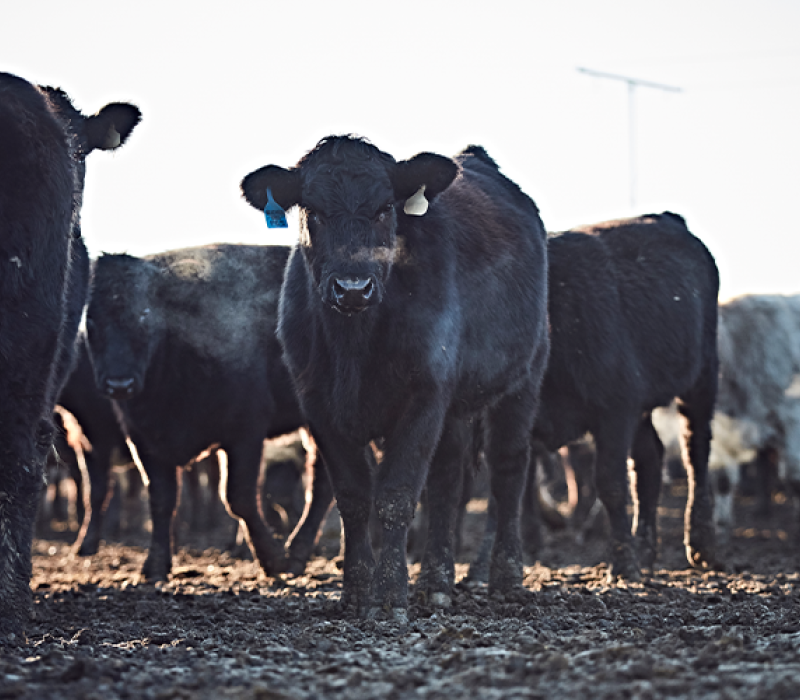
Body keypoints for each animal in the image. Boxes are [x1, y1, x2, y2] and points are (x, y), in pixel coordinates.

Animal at [86, 243, 334, 584]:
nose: (119, 384)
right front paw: (154, 567)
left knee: (321, 485)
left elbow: (238, 498)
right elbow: (161, 501)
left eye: (145, 317)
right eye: (91, 321)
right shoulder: (145, 442)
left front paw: (272, 559)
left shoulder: (244, 433)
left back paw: (296, 555)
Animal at [242, 137, 552, 616]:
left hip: (522, 378)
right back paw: (437, 581)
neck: (354, 345)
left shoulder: (423, 396)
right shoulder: (319, 405)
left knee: (508, 470)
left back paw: (505, 576)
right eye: (313, 210)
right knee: (448, 479)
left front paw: (389, 592)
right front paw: (355, 590)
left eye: (385, 208)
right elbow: (353, 496)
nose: (352, 288)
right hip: (454, 404)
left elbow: (396, 495)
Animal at [532, 213, 720, 580]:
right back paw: (645, 549)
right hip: (641, 405)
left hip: (701, 376)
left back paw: (701, 543)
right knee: (650, 458)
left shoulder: (614, 411)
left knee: (696, 450)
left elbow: (610, 483)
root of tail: (668, 218)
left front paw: (621, 564)